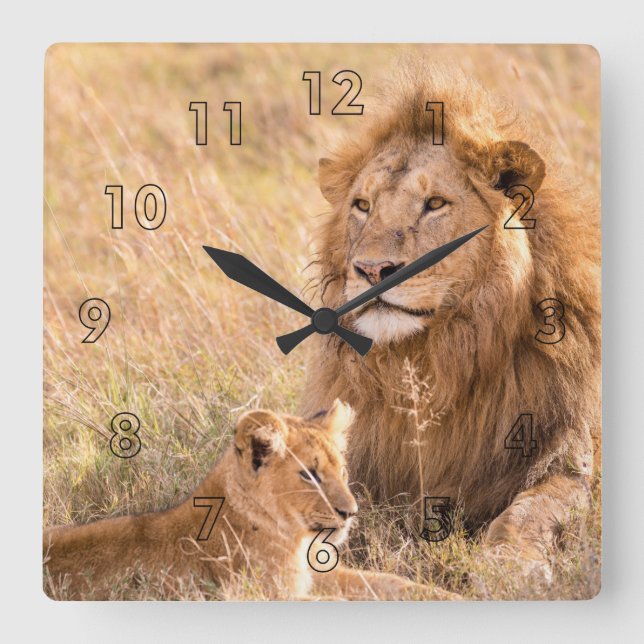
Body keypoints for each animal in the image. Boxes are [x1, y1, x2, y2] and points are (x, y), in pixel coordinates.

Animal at [43, 400, 456, 600]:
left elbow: (389, 583)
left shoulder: (309, 577)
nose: (350, 513)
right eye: (309, 475)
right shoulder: (259, 593)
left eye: (341, 469)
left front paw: (448, 597)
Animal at [301, 62, 601, 576]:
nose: (371, 269)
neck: (436, 361)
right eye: (362, 206)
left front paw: (508, 566)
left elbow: (531, 509)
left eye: (435, 204)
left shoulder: (571, 455)